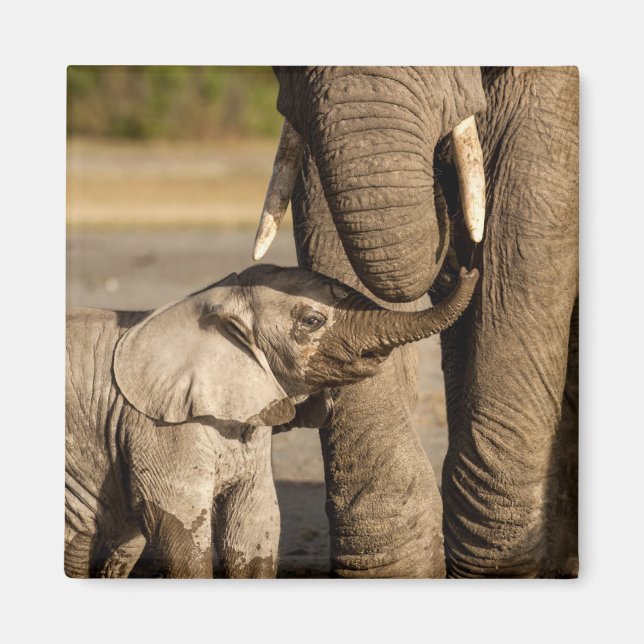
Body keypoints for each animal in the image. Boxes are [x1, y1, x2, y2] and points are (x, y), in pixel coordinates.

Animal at [65, 262, 477, 578]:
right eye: (312, 320)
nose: (466, 270)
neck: (211, 303)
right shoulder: (159, 428)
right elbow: (178, 528)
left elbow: (254, 525)